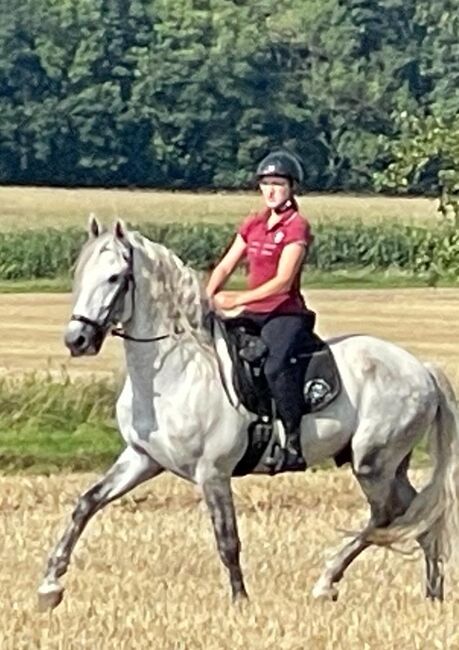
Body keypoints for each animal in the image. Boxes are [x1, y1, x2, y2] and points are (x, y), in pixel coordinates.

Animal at [36, 220, 459, 612]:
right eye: (80, 273)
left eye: (114, 277)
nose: (77, 340)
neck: (175, 370)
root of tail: (420, 367)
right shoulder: (142, 459)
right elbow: (86, 503)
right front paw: (49, 586)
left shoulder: (212, 472)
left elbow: (227, 539)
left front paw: (240, 601)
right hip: (391, 465)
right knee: (420, 514)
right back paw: (432, 592)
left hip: (373, 462)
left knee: (388, 515)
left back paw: (327, 581)